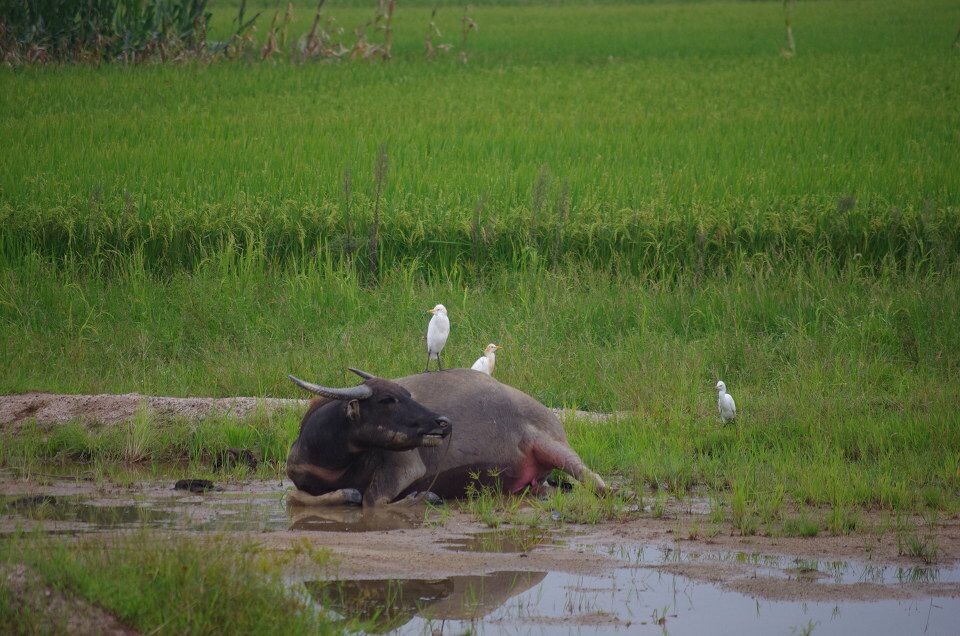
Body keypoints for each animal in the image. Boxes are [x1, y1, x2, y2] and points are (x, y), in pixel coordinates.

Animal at [282, 368, 608, 506]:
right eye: (388, 400)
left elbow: (373, 500)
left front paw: (422, 497)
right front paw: (346, 494)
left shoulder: (405, 467)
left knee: (594, 480)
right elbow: (293, 497)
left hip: (553, 445)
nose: (443, 422)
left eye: (408, 394)